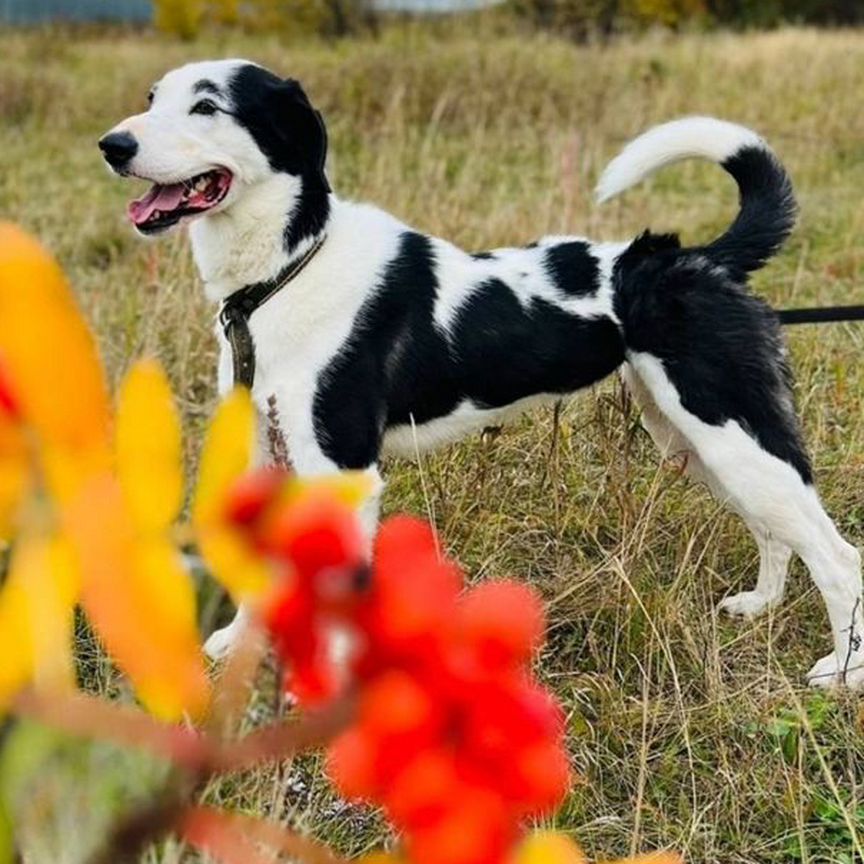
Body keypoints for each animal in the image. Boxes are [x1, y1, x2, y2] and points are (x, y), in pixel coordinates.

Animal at [101, 59, 864, 688]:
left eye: (208, 106)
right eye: (151, 99)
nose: (112, 146)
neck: (290, 266)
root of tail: (693, 260)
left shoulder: (343, 470)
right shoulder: (266, 454)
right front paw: (240, 645)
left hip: (731, 430)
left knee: (839, 558)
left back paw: (842, 673)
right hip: (696, 439)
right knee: (777, 532)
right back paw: (761, 606)